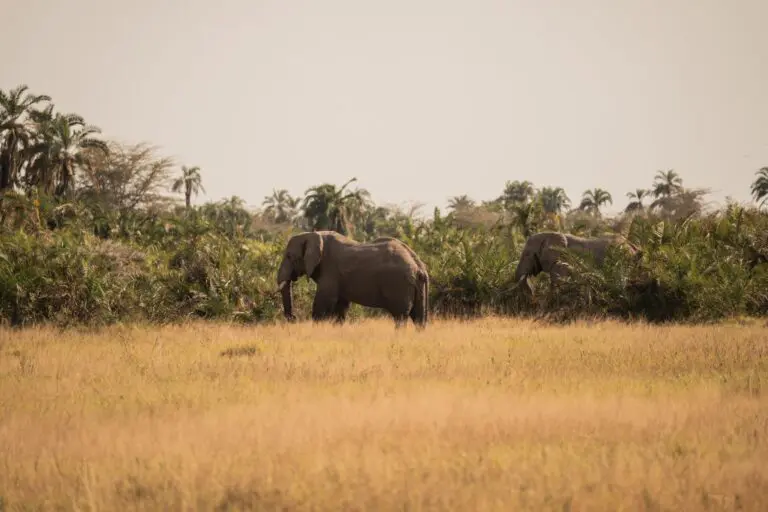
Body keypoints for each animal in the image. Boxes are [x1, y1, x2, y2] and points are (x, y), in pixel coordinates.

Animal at [276, 231, 429, 328]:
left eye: (289, 256)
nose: (294, 318)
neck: (312, 234)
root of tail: (418, 266)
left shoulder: (330, 271)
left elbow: (324, 302)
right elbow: (340, 306)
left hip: (399, 285)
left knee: (400, 317)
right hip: (417, 285)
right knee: (419, 318)